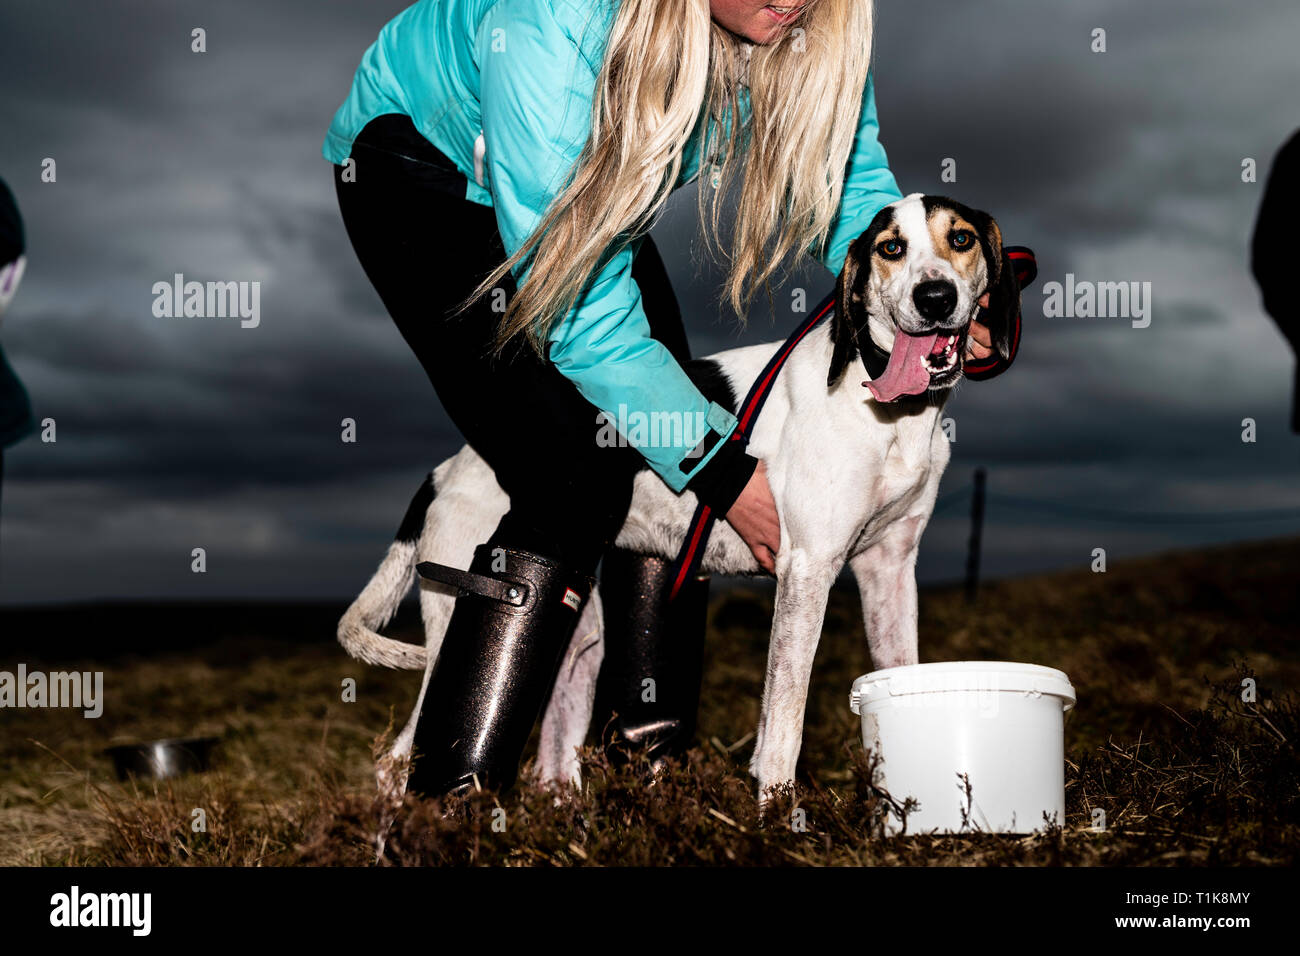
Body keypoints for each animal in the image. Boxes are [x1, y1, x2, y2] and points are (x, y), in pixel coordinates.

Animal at [338, 192, 1024, 801]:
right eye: (891, 248)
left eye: (961, 239)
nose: (934, 298)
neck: (886, 403)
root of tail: (444, 470)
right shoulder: (807, 571)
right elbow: (784, 726)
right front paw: (779, 817)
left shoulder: (888, 570)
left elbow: (900, 676)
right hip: (463, 614)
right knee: (398, 762)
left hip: (578, 636)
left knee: (552, 762)